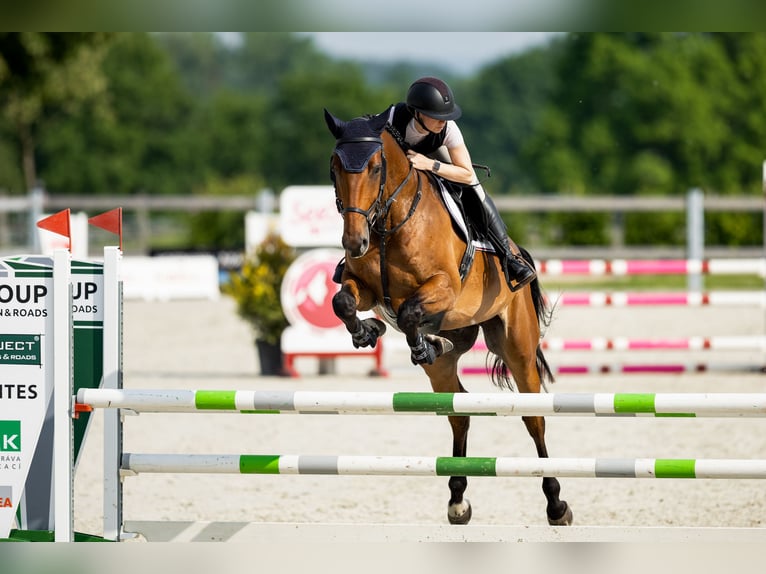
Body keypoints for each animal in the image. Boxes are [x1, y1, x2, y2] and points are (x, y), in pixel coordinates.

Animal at [324, 106, 573, 527]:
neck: (388, 222)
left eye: (375, 167)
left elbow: (409, 312)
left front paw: (420, 340)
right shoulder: (365, 287)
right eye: (334, 167)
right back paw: (457, 500)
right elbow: (344, 303)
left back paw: (556, 504)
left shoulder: (444, 286)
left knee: (533, 417)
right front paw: (369, 331)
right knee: (459, 412)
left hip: (517, 348)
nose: (354, 242)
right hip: (449, 365)